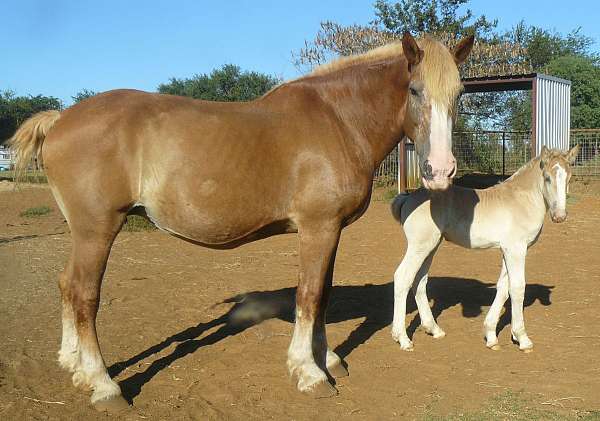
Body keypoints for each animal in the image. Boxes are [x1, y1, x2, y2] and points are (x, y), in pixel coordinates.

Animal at [7, 33, 472, 410]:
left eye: (459, 94)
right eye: (414, 89)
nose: (440, 170)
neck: (338, 119)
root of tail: (61, 119)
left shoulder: (331, 230)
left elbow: (322, 296)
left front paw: (328, 359)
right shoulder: (317, 228)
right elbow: (308, 296)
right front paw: (309, 373)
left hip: (83, 232)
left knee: (66, 286)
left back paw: (73, 365)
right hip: (98, 230)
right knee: (84, 294)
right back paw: (103, 385)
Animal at [392, 144, 580, 352]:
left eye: (569, 178)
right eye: (547, 177)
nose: (560, 216)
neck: (521, 200)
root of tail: (409, 197)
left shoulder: (508, 250)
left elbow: (503, 288)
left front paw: (491, 336)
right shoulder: (516, 249)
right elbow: (517, 288)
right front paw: (522, 339)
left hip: (431, 247)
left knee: (419, 281)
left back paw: (434, 330)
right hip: (419, 246)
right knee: (402, 278)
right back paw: (403, 339)